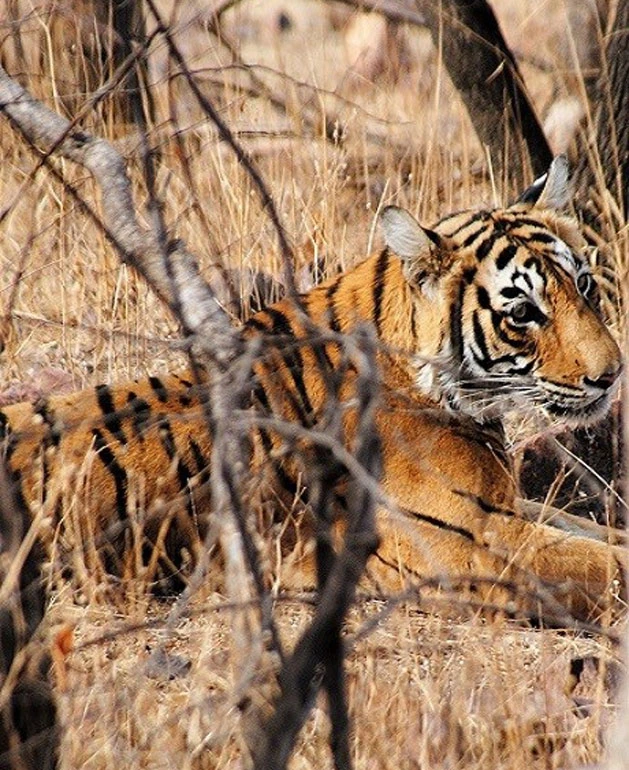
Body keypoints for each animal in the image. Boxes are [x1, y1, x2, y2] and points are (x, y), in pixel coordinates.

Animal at [1, 156, 624, 622]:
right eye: (522, 312)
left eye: (584, 284)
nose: (612, 374)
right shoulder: (464, 539)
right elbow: (600, 563)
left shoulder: (503, 506)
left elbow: (593, 531)